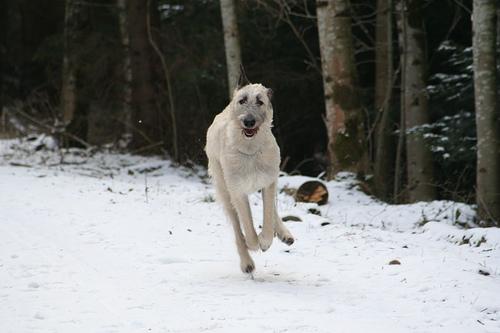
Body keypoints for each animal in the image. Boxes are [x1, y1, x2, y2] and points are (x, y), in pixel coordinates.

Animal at [205, 65, 294, 272]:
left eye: (260, 102)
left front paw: (266, 240)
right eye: (242, 100)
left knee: (271, 210)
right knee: (237, 229)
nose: (248, 121)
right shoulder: (237, 191)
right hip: (224, 191)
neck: (250, 150)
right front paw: (254, 243)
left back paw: (284, 233)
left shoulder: (269, 181)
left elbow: (268, 215)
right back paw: (246, 261)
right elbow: (247, 224)